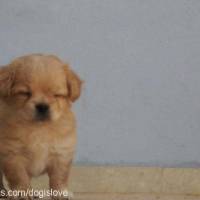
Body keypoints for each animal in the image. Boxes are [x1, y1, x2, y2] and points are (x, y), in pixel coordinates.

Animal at [0, 53, 82, 198]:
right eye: (25, 93)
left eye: (57, 95)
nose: (42, 106)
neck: (38, 129)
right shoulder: (12, 155)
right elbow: (19, 177)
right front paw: (21, 193)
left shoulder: (61, 154)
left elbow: (59, 178)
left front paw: (60, 193)